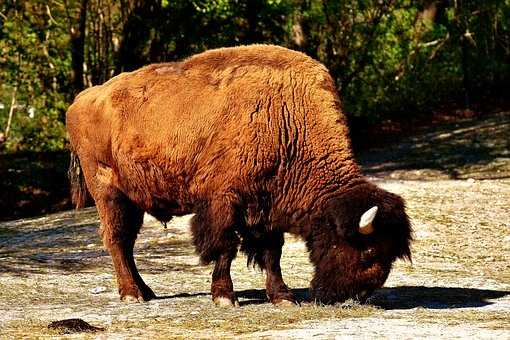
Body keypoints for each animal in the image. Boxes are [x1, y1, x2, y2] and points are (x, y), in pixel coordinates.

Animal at [66, 43, 410, 306]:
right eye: (367, 253)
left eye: (390, 256)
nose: (357, 295)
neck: (286, 118)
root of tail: (82, 100)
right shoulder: (224, 203)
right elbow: (225, 246)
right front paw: (224, 297)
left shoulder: (268, 207)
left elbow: (271, 252)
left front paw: (282, 296)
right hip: (109, 194)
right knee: (117, 239)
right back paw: (132, 294)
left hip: (133, 199)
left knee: (126, 242)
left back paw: (146, 292)